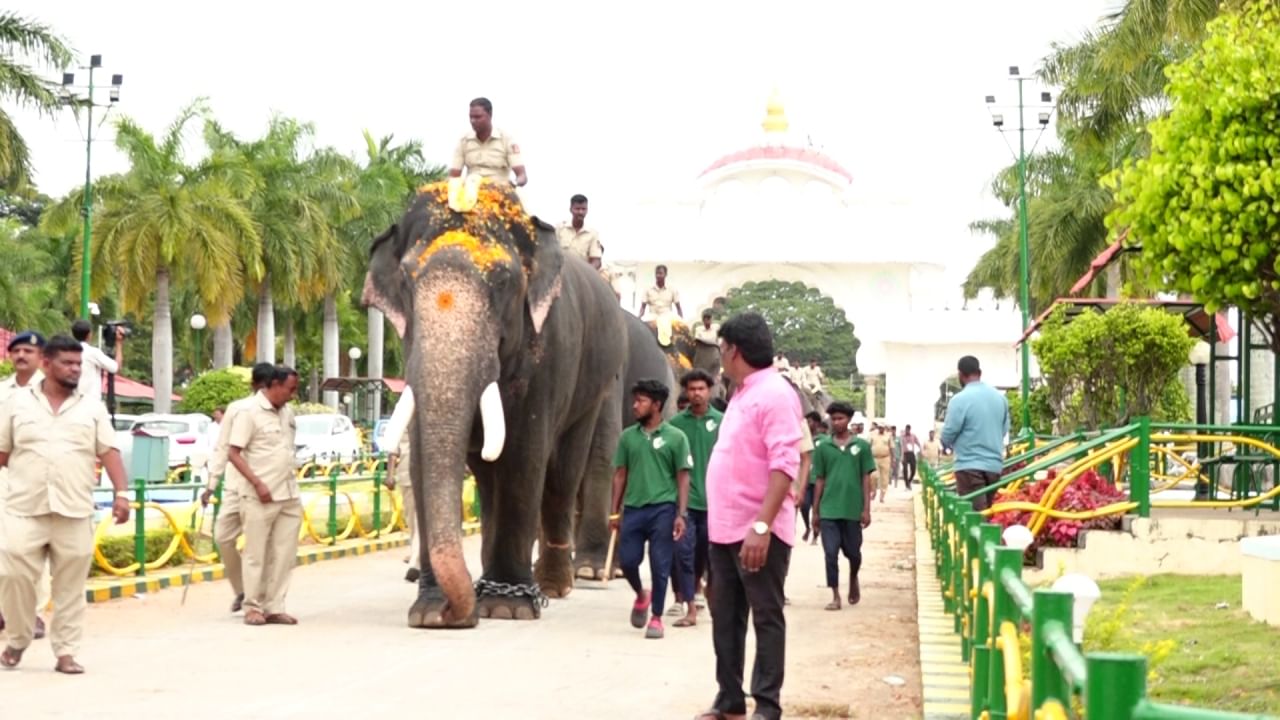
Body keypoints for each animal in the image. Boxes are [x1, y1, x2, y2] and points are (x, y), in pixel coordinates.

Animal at [363, 180, 627, 627]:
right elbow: (422, 461)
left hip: (595, 385)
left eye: (503, 281)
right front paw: (430, 614)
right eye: (407, 281)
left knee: (562, 474)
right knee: (489, 482)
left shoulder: (547, 354)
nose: (455, 613)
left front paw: (508, 608)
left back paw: (552, 585)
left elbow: (523, 458)